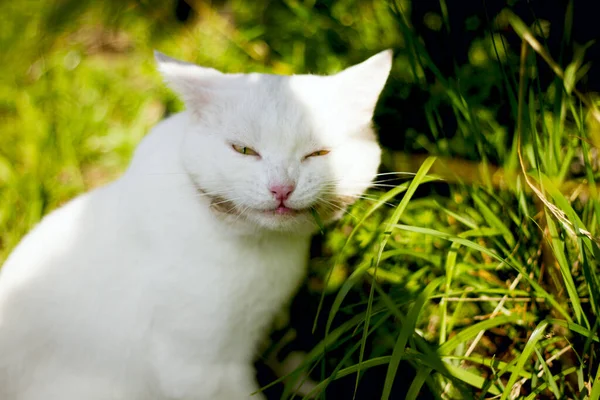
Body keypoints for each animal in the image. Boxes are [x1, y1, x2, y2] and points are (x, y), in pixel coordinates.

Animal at [0, 50, 392, 400]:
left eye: (318, 154)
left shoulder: (271, 323)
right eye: (243, 150)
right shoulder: (198, 369)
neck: (262, 248)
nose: (281, 188)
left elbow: (287, 356)